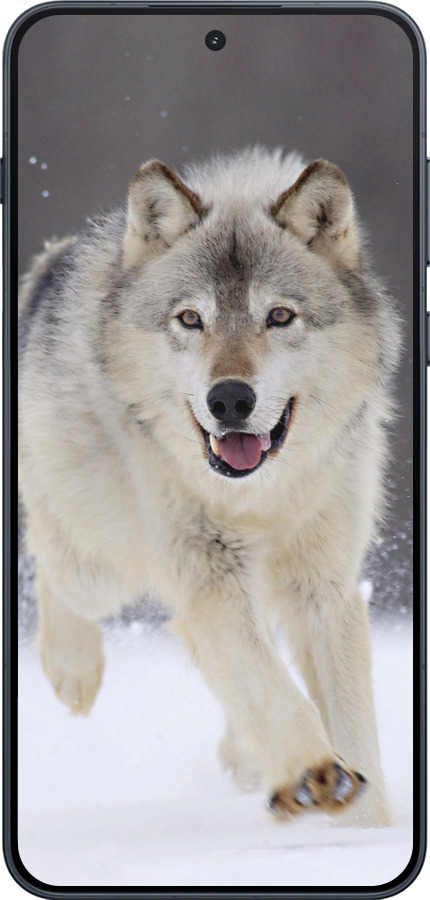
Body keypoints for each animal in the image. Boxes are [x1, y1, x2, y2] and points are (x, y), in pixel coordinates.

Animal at [18, 146, 399, 826]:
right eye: (191, 319)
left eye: (279, 316)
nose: (229, 400)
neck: (259, 497)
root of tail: (52, 260)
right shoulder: (208, 574)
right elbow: (270, 686)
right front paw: (314, 773)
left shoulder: (323, 585)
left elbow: (351, 720)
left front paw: (366, 827)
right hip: (102, 565)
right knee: (50, 556)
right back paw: (73, 671)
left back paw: (245, 757)